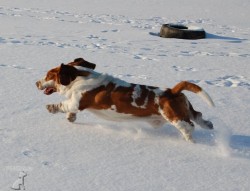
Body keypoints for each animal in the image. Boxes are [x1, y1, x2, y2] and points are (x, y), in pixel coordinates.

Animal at [36, 57, 214, 142]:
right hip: (184, 110)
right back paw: (208, 125)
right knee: (198, 116)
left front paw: (51, 108)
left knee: (189, 127)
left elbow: (64, 105)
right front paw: (70, 118)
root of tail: (173, 91)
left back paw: (191, 141)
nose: (36, 83)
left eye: (49, 75)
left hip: (175, 117)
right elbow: (70, 112)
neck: (79, 77)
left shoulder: (76, 101)